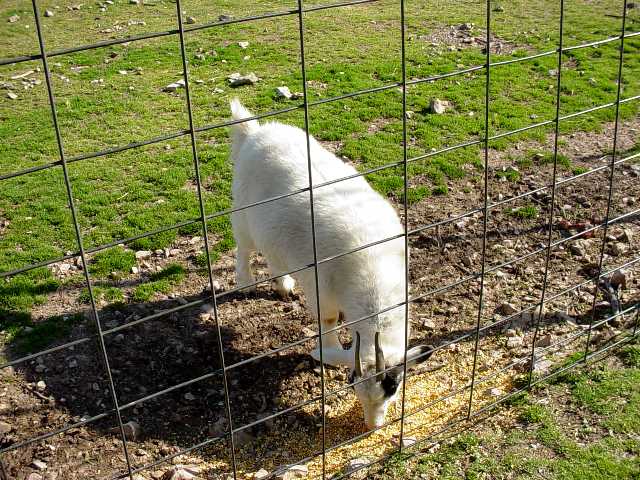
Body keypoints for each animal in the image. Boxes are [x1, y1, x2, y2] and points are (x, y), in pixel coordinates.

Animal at [228, 99, 432, 430]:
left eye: (393, 387)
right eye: (352, 384)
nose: (373, 426)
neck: (372, 266)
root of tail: (253, 131)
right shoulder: (321, 292)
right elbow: (328, 322)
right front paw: (326, 352)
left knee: (274, 255)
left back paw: (283, 286)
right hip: (242, 214)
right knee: (244, 247)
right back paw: (245, 282)